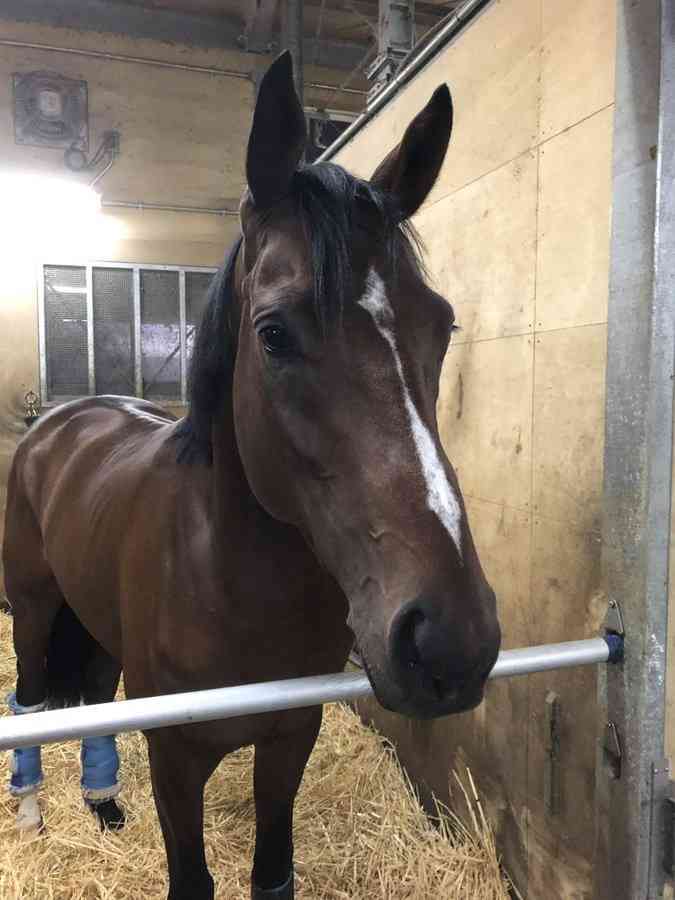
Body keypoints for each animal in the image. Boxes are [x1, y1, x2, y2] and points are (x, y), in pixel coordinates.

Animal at [2, 52, 500, 900]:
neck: (226, 578)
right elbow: (192, 880)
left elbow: (273, 874)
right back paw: (35, 814)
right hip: (34, 608)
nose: (449, 643)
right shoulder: (176, 760)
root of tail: (66, 417)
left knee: (93, 696)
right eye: (272, 333)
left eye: (441, 325)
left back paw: (103, 806)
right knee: (34, 699)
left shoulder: (288, 737)